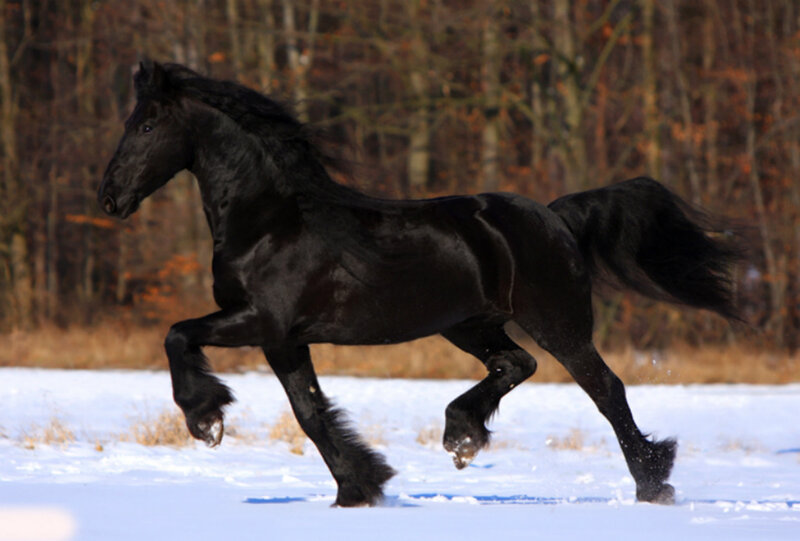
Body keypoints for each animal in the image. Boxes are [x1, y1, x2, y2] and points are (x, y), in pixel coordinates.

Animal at [98, 61, 742, 507]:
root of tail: (556, 217)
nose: (110, 197)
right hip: (469, 325)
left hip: (557, 323)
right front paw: (359, 489)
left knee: (606, 390)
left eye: (147, 124)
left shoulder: (263, 321)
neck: (269, 222)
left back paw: (652, 485)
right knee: (516, 365)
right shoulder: (285, 339)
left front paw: (205, 420)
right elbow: (310, 412)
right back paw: (461, 438)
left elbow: (179, 335)